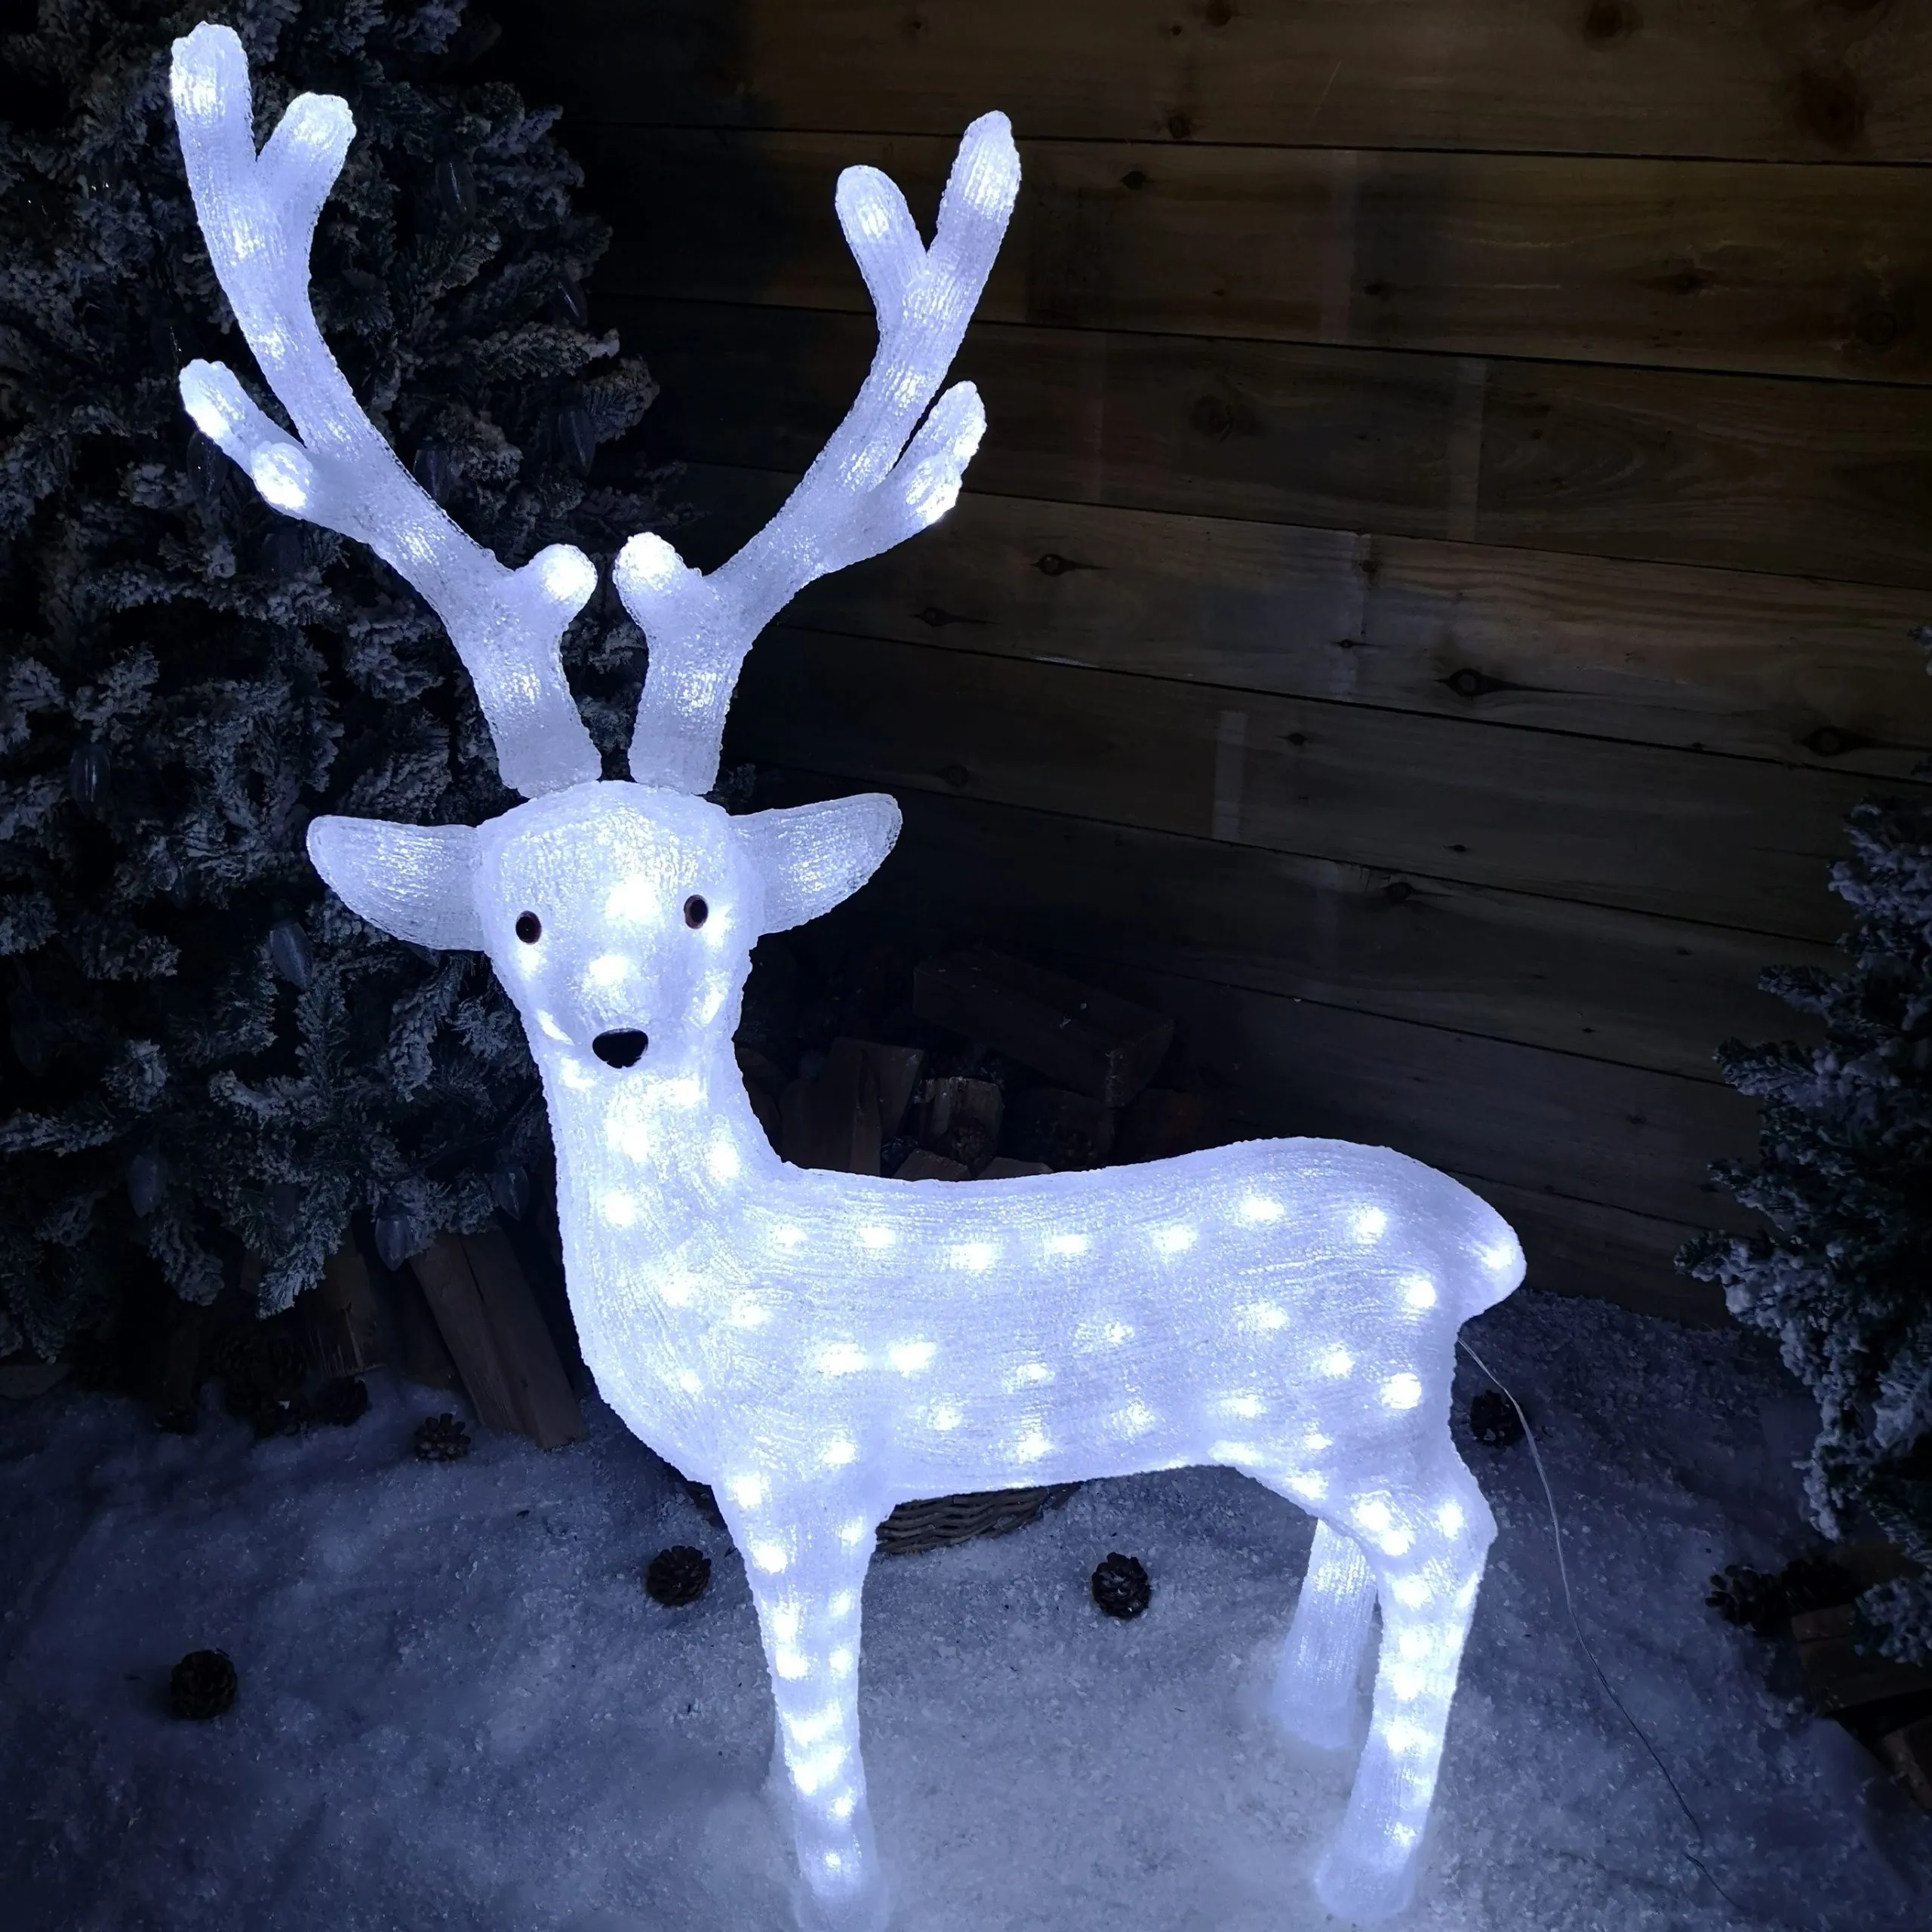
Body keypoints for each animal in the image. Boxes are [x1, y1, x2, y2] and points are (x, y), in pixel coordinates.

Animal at [170, 24, 1524, 1928]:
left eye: (702, 906)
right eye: (520, 925)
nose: (616, 1032)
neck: (726, 1277)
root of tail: (1477, 1242)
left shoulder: (806, 1486)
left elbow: (817, 1710)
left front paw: (833, 1874)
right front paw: (763, 1809)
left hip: (1353, 1409)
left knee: (1461, 1540)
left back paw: (1353, 1862)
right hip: (1341, 1419)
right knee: (1387, 1546)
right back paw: (1290, 1720)